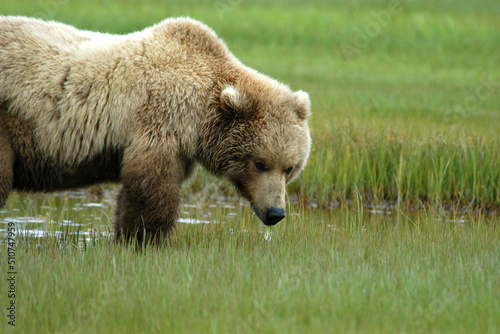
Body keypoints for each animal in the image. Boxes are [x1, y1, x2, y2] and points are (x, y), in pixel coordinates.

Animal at [0, 16, 310, 243]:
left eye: (290, 168)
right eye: (260, 163)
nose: (275, 212)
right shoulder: (162, 117)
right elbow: (150, 185)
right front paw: (141, 238)